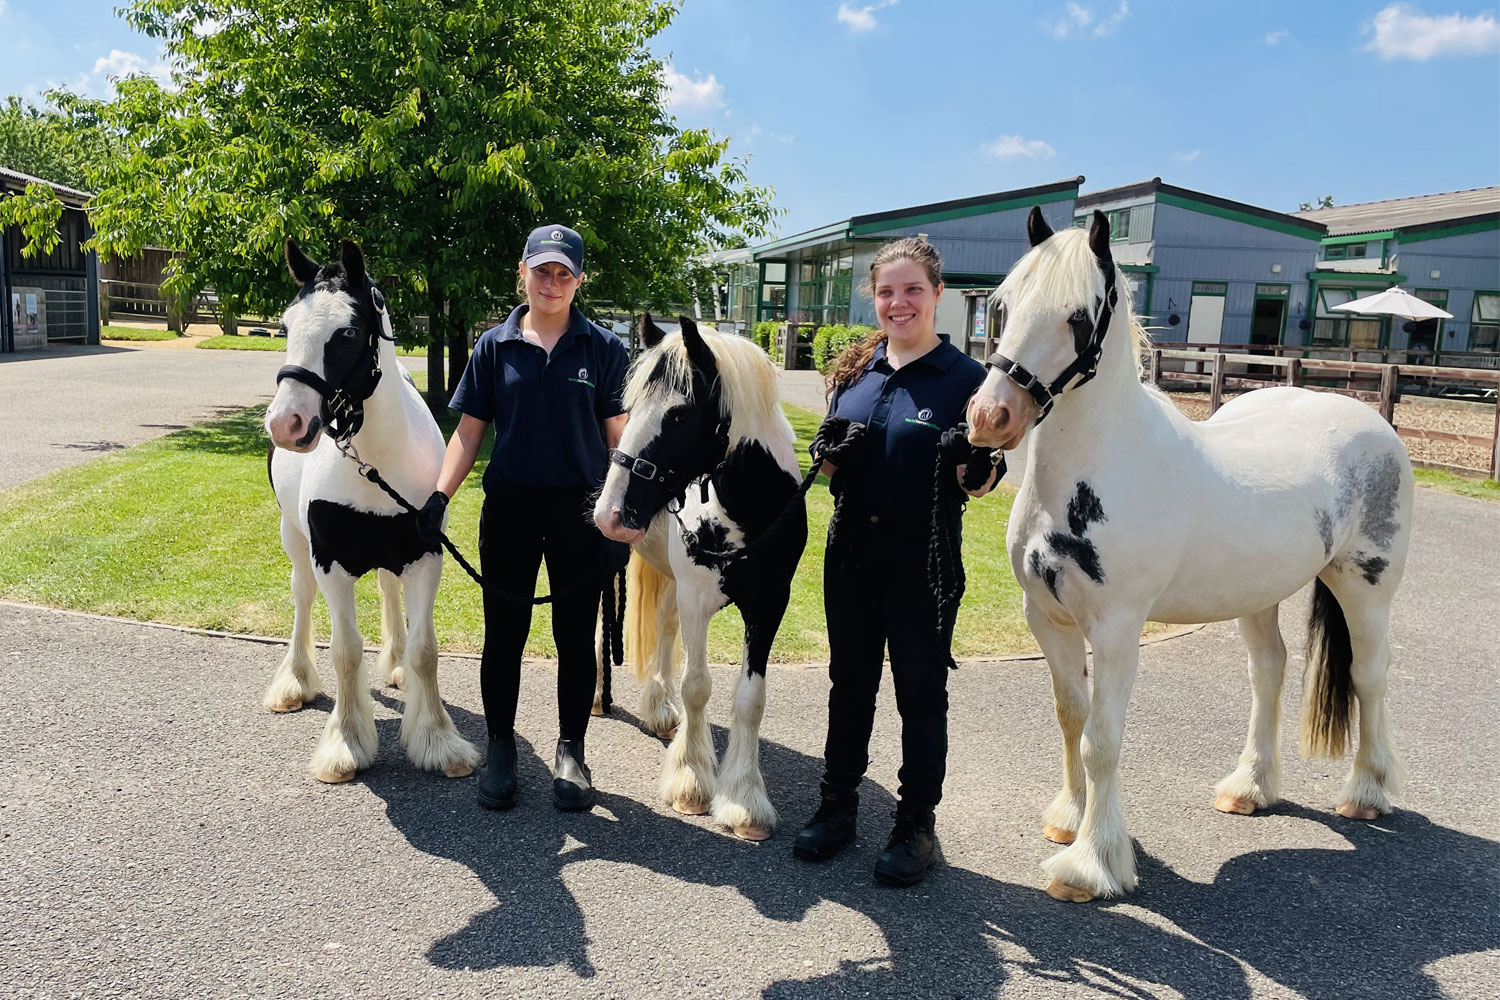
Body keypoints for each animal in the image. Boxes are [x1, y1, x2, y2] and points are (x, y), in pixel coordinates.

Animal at [261, 239, 477, 779]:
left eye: (348, 331)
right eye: (286, 326)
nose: (286, 423)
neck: (373, 460)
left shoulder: (425, 555)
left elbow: (425, 650)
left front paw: (437, 740)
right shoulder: (330, 564)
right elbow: (346, 651)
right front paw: (346, 742)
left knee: (387, 589)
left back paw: (394, 664)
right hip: (294, 540)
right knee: (301, 599)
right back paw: (294, 681)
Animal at [597, 316, 810, 839]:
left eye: (678, 416)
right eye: (630, 407)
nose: (611, 513)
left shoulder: (768, 606)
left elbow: (750, 699)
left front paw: (745, 800)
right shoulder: (698, 601)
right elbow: (697, 687)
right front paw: (692, 781)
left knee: (664, 629)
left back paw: (658, 708)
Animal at [966, 206, 1410, 905]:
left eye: (1078, 317)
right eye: (1004, 305)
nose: (991, 417)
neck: (1103, 466)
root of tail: (1370, 421)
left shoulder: (1117, 629)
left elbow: (1101, 741)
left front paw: (1092, 864)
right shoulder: (1047, 619)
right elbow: (1071, 718)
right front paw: (1070, 820)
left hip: (1366, 587)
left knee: (1370, 677)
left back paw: (1367, 791)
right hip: (1257, 594)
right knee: (1269, 671)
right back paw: (1250, 788)